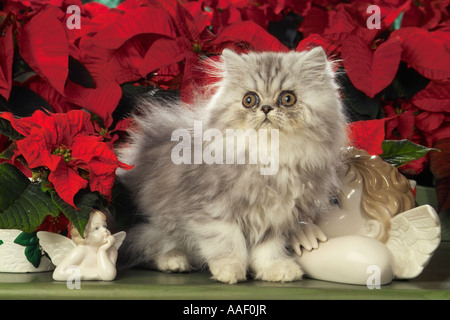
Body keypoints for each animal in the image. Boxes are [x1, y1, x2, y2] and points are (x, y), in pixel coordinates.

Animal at [117, 47, 348, 282]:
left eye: (288, 98)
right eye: (249, 100)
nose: (266, 108)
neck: (269, 157)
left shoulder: (276, 217)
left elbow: (268, 249)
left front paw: (274, 269)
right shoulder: (213, 210)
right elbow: (227, 242)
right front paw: (229, 270)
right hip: (152, 229)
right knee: (146, 249)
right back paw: (174, 261)